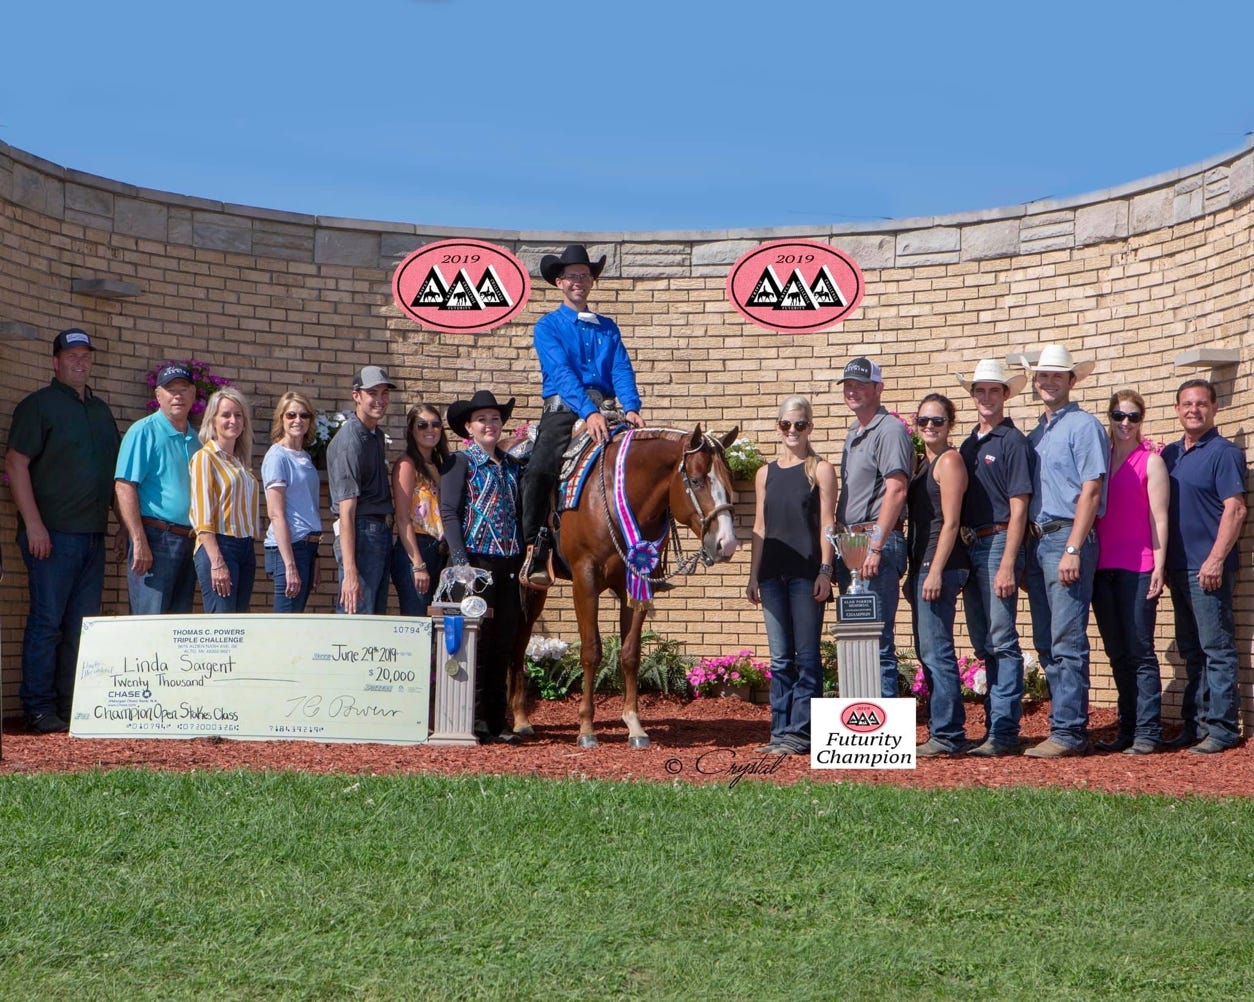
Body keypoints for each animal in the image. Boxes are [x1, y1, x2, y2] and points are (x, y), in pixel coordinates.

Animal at [508, 425, 740, 748]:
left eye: (729, 480)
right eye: (695, 481)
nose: (726, 544)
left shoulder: (638, 584)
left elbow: (631, 653)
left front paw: (634, 725)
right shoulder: (585, 582)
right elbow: (591, 651)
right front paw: (586, 728)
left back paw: (520, 717)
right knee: (517, 643)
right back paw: (518, 720)